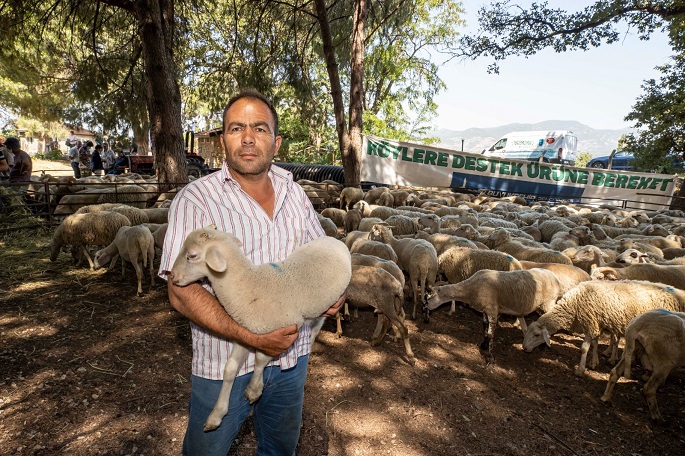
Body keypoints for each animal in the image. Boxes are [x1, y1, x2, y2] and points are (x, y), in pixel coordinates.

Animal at [424, 268, 564, 364]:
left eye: (428, 298)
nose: (425, 316)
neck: (470, 289)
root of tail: (554, 277)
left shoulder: (492, 310)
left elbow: (491, 334)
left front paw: (490, 358)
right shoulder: (485, 310)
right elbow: (485, 328)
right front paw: (483, 345)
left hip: (549, 303)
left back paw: (543, 344)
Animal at [520, 280, 684, 376]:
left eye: (536, 335)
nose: (524, 348)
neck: (573, 304)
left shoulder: (590, 322)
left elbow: (584, 348)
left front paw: (580, 369)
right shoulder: (595, 321)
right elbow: (594, 343)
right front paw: (594, 362)